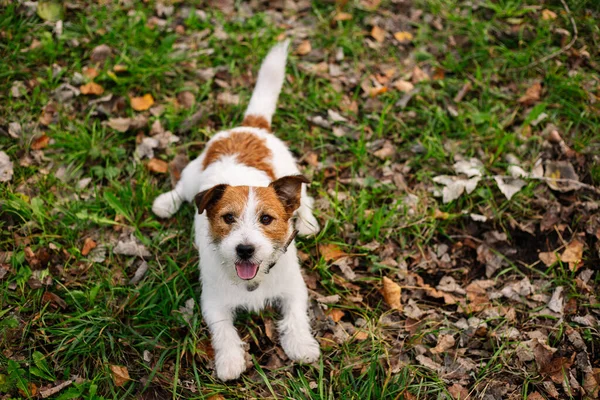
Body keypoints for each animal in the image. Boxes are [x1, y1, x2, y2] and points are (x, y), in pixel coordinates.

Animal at [154, 40, 324, 382]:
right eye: (228, 218)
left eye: (267, 219)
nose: (245, 249)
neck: (252, 280)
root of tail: (250, 127)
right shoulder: (213, 302)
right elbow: (224, 332)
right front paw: (230, 361)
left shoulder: (294, 290)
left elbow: (296, 316)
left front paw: (301, 346)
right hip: (193, 174)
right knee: (182, 189)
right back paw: (165, 202)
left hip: (291, 170)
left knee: (304, 198)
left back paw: (308, 221)